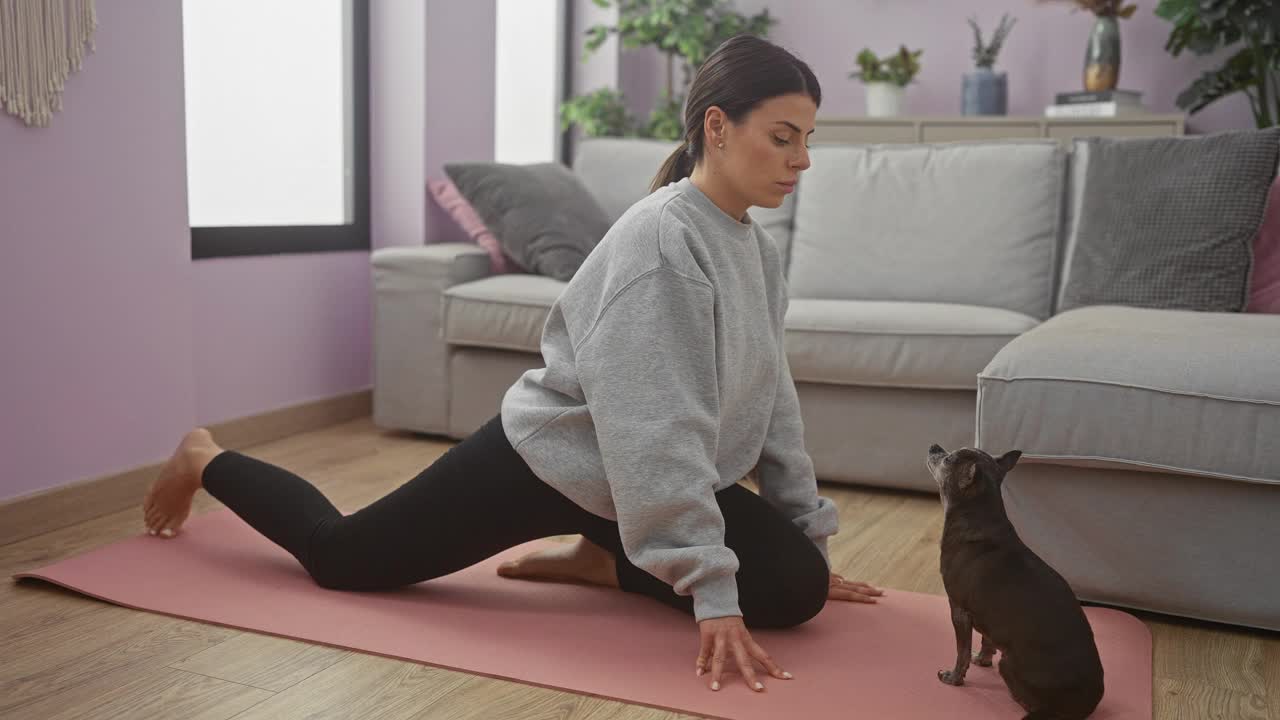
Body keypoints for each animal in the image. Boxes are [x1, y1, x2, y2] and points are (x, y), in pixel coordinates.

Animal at [926, 443, 1105, 717]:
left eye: (947, 459)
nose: (934, 446)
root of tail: (1088, 702)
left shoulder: (959, 611)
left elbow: (961, 651)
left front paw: (954, 678)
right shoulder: (987, 616)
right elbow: (986, 640)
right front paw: (982, 659)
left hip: (1008, 664)